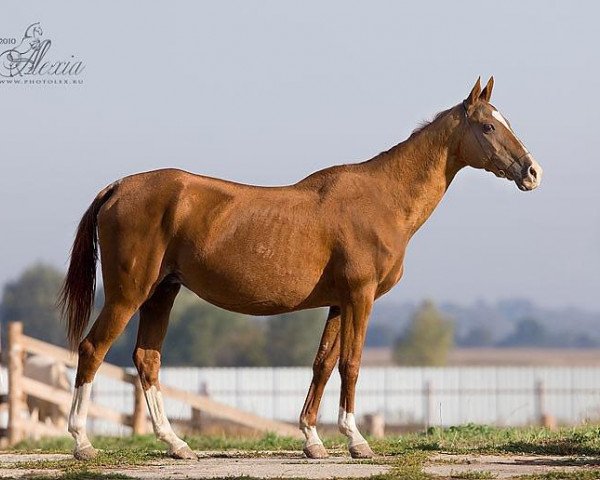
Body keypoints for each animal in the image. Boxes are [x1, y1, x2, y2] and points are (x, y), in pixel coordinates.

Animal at [61, 79, 544, 462]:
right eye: (488, 126)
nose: (532, 171)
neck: (383, 198)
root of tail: (118, 187)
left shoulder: (338, 303)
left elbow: (322, 364)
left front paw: (313, 440)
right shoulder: (359, 297)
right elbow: (351, 363)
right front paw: (356, 440)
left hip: (162, 292)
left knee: (147, 360)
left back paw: (177, 444)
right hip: (129, 294)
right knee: (92, 350)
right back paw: (83, 443)